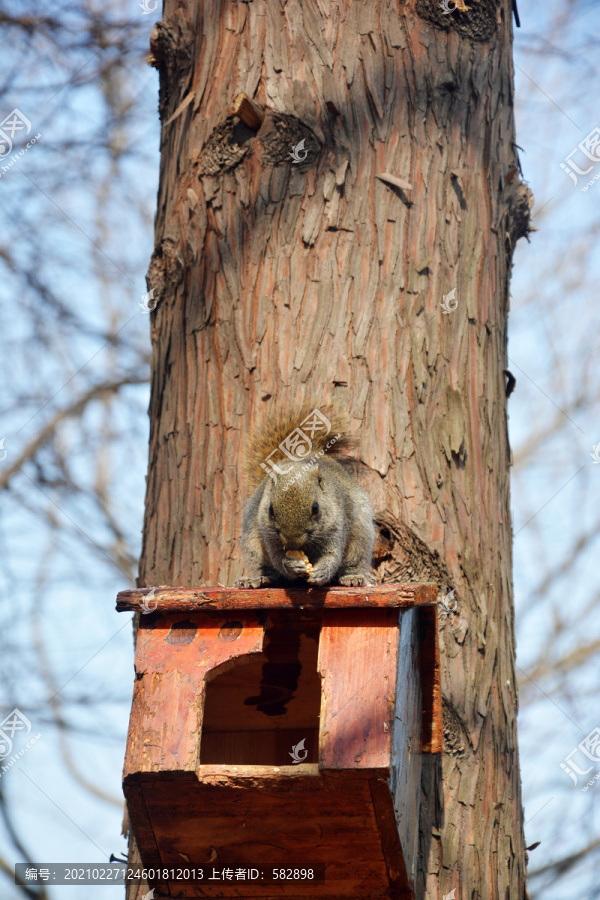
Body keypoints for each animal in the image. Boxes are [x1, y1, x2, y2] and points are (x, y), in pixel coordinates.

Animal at [236, 404, 372, 588]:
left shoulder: (337, 525)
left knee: (354, 560)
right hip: (252, 541)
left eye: (316, 508)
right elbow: (277, 558)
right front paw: (290, 564)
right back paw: (257, 579)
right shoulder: (267, 531)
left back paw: (353, 577)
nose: (293, 542)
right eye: (270, 510)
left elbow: (333, 555)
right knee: (264, 568)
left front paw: (323, 571)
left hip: (361, 536)